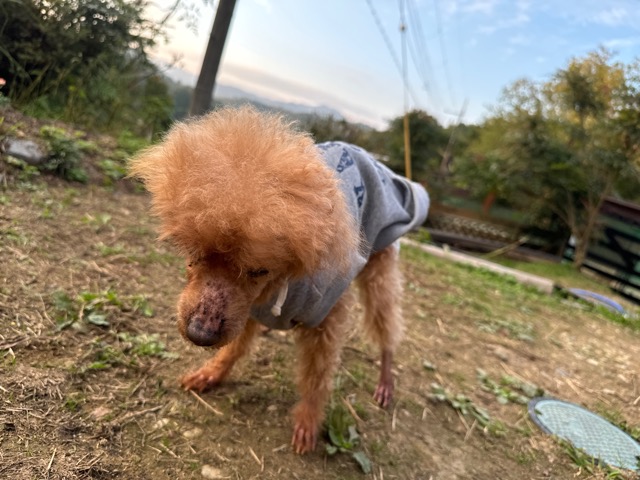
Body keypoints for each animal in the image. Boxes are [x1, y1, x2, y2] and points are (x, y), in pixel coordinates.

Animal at [128, 106, 429, 454]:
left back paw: (385, 377)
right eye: (195, 252)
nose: (199, 334)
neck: (279, 285)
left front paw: (308, 422)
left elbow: (317, 375)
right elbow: (234, 346)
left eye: (259, 269)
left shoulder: (324, 318)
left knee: (386, 321)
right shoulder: (243, 310)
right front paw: (211, 373)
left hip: (381, 264)